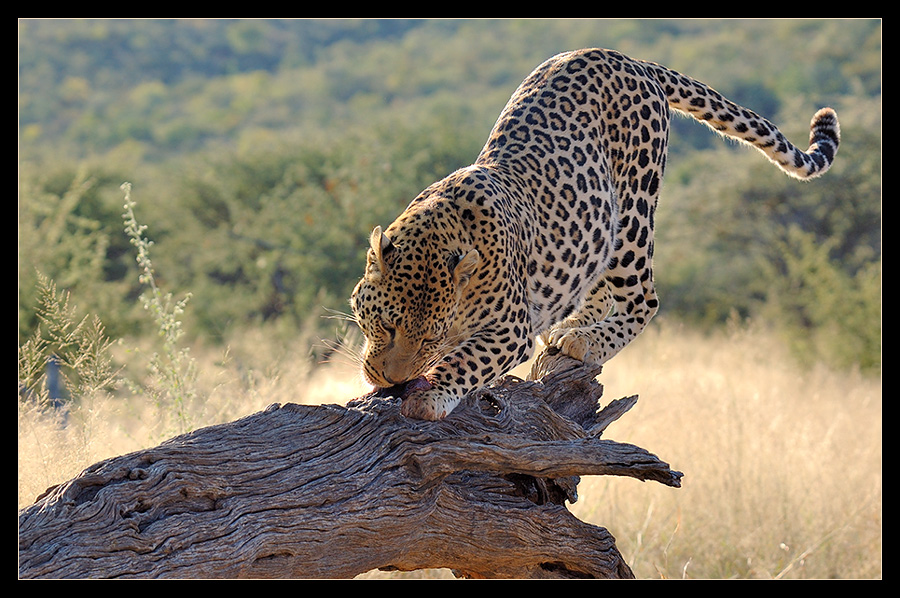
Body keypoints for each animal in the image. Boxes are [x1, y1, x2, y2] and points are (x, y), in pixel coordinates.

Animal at [348, 48, 840, 422]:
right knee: (594, 283)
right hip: (595, 229)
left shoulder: (511, 328)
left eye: (430, 338)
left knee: (645, 300)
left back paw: (587, 340)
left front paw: (431, 395)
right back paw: (573, 325)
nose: (391, 379)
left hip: (633, 214)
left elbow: (468, 359)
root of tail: (629, 58)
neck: (439, 224)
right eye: (387, 325)